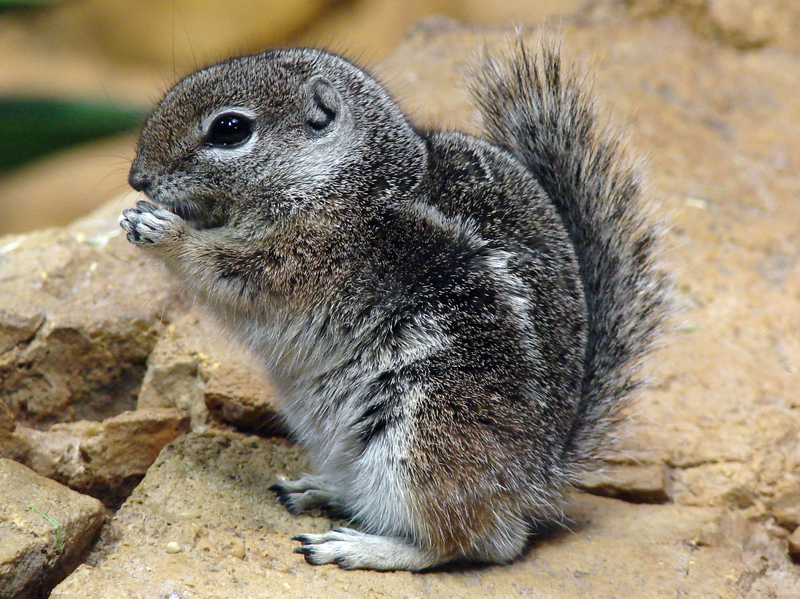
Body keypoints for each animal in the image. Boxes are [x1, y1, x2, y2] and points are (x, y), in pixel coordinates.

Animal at [121, 39, 669, 571]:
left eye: (229, 129)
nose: (137, 179)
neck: (346, 179)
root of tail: (540, 479)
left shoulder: (298, 262)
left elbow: (220, 267)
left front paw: (161, 229)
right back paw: (322, 490)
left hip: (421, 434)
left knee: (472, 543)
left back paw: (356, 547)